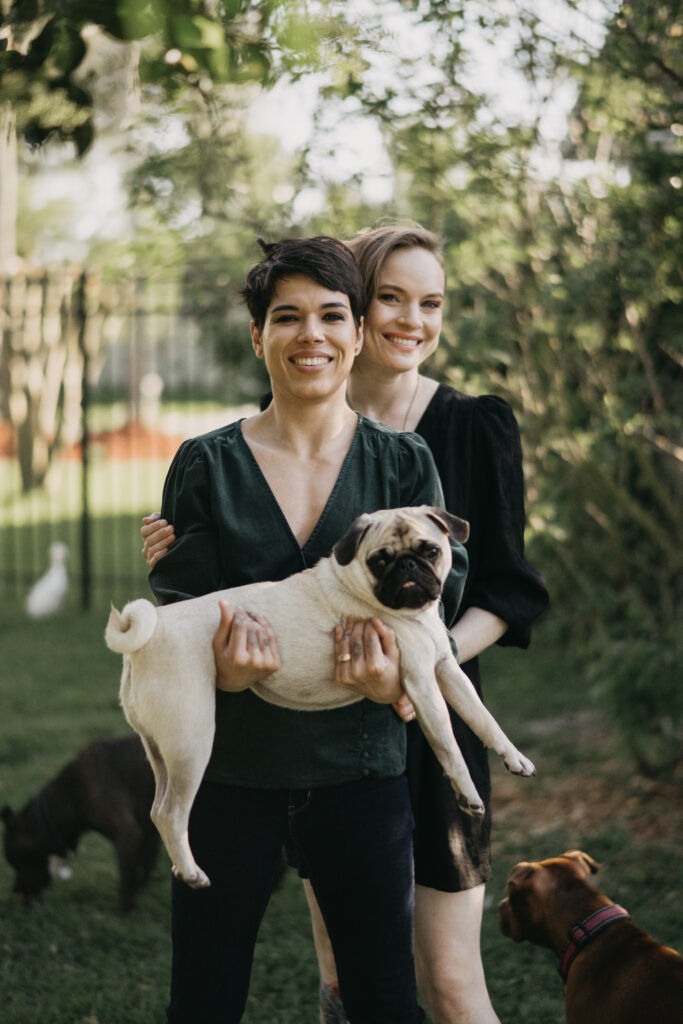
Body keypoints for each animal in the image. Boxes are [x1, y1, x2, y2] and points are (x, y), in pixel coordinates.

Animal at [1, 737, 158, 913]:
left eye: (17, 862)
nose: (16, 895)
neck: (71, 794)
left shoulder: (127, 833)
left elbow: (127, 877)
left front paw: (123, 911)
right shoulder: (148, 829)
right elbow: (145, 865)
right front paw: (143, 889)